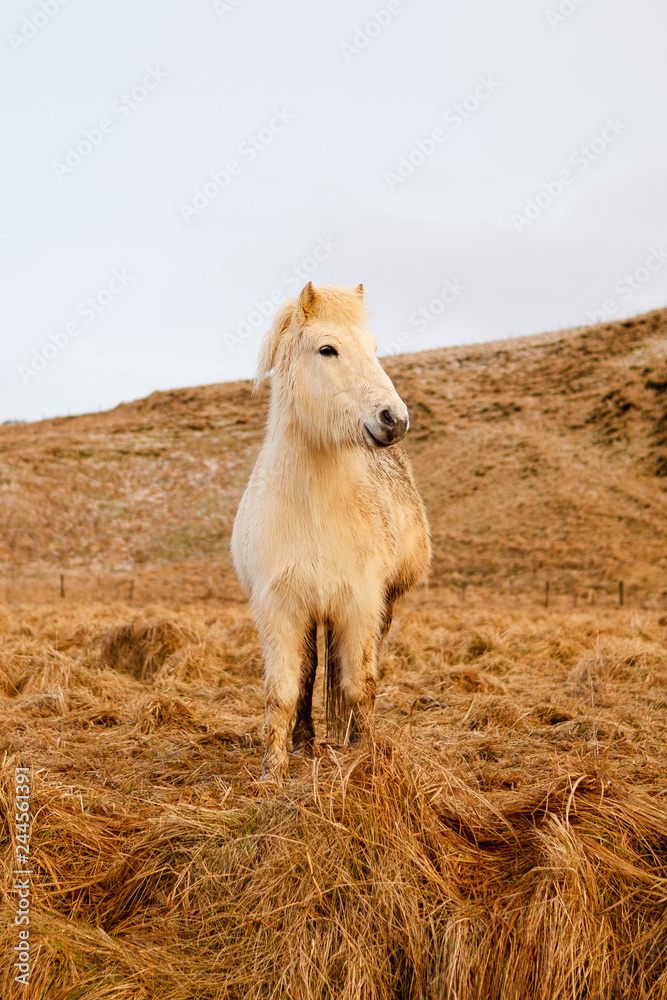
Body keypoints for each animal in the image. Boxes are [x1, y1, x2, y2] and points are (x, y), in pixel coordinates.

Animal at [231, 281, 431, 782]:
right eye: (327, 349)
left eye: (374, 348)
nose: (394, 419)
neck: (314, 508)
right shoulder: (281, 609)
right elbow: (285, 689)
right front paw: (274, 771)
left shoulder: (361, 605)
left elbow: (359, 683)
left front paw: (366, 755)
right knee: (309, 673)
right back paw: (305, 741)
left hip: (383, 606)